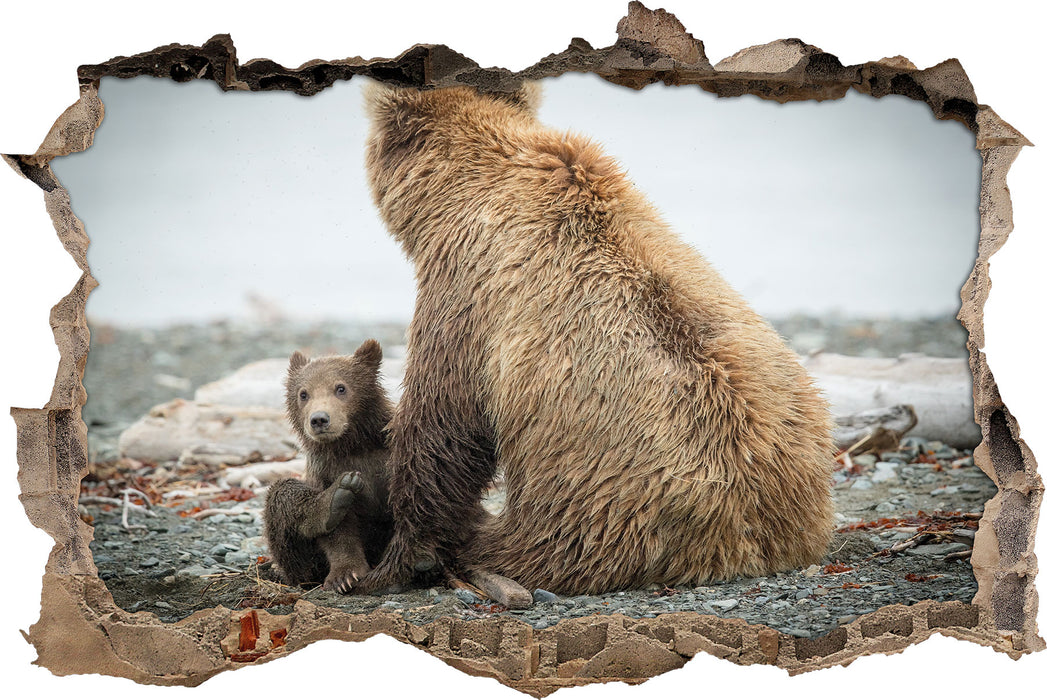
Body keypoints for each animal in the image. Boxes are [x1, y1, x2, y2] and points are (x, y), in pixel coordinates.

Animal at [261, 339, 393, 590]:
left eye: (340, 388)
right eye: (303, 394)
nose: (319, 419)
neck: (352, 445)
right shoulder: (325, 471)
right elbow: (338, 534)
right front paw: (345, 576)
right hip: (302, 565)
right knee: (282, 493)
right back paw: (334, 498)